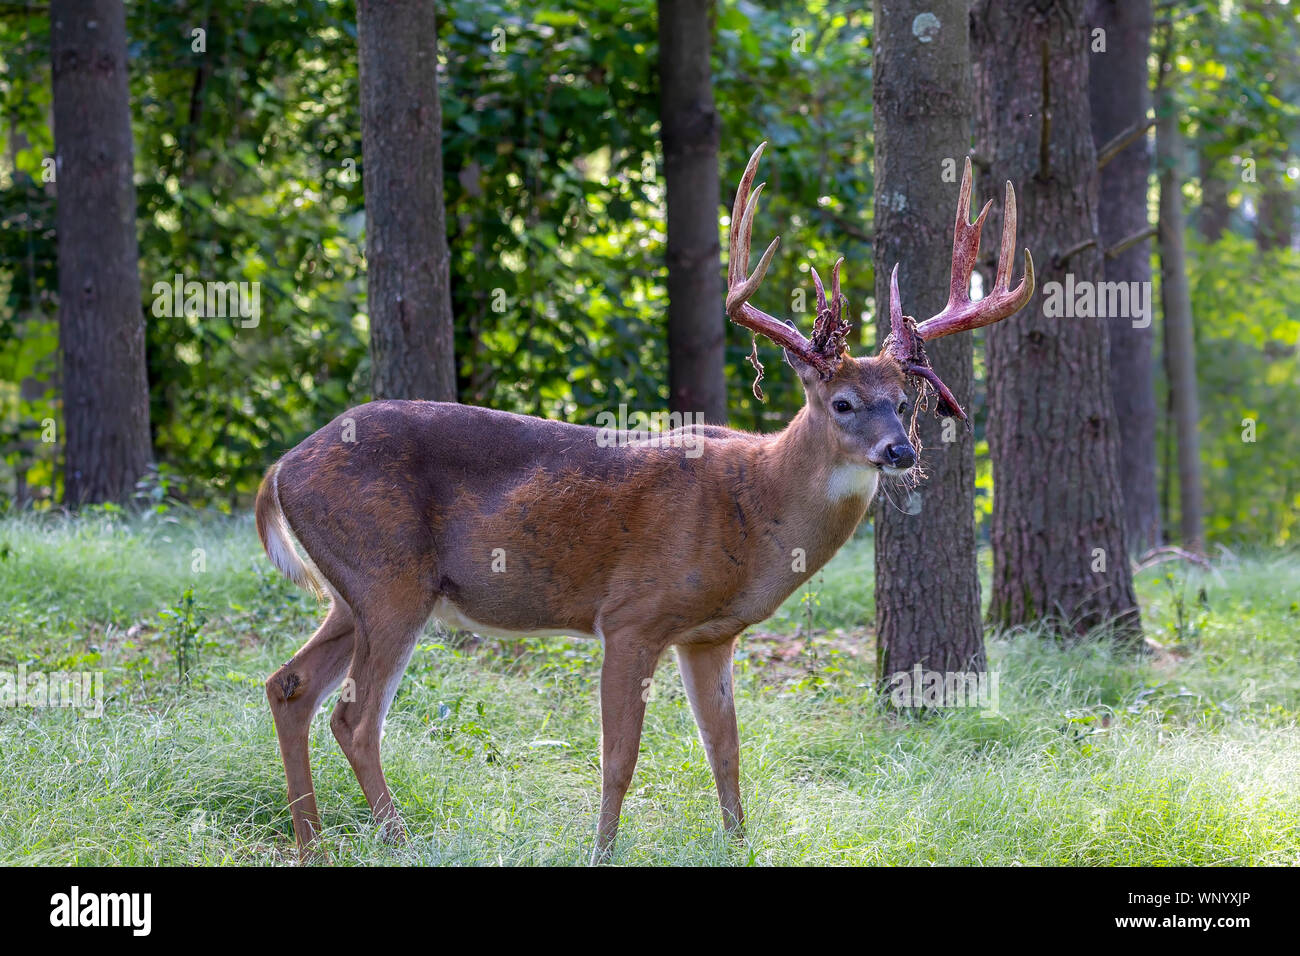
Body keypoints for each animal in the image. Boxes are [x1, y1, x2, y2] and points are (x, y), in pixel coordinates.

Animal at [256, 143, 1034, 863]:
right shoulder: (630, 616)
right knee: (355, 719)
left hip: (353, 590)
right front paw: (601, 851)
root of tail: (280, 467)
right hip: (390, 579)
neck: (756, 510)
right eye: (843, 402)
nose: (900, 452)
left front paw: (739, 845)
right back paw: (398, 840)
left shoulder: (710, 634)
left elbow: (726, 751)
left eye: (904, 402)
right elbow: (618, 759)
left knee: (289, 685)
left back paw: (311, 844)